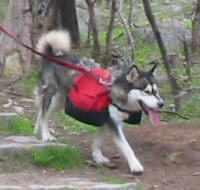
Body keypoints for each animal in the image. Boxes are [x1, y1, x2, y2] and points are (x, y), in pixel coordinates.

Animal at [35, 29, 165, 174]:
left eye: (156, 91)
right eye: (146, 92)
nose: (161, 104)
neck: (116, 91)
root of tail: (53, 56)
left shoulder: (106, 119)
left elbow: (98, 141)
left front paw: (98, 157)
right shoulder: (113, 122)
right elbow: (126, 147)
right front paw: (135, 165)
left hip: (60, 101)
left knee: (41, 111)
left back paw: (37, 129)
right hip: (53, 95)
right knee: (44, 114)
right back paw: (46, 135)